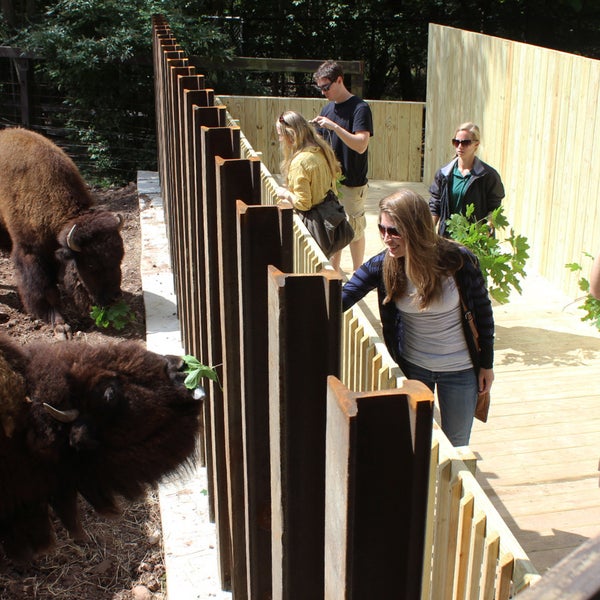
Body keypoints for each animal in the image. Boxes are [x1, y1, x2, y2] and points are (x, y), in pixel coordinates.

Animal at [0, 127, 123, 336]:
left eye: (120, 258)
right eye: (91, 265)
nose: (114, 298)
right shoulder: (30, 252)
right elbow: (44, 288)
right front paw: (59, 324)